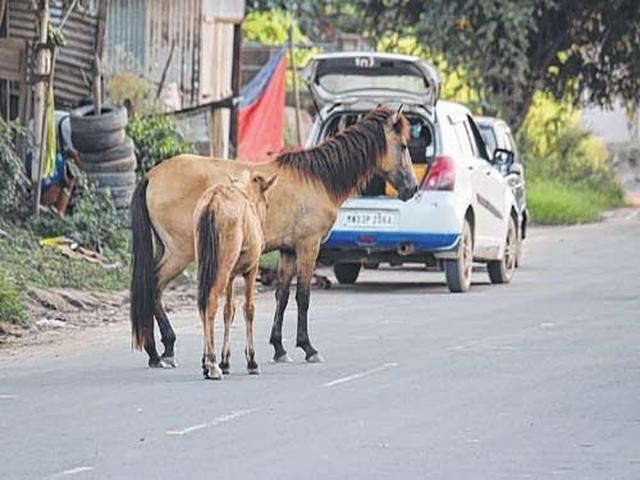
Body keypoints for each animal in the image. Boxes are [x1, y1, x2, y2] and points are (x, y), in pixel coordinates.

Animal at [194, 171, 277, 379]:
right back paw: (212, 363)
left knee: (202, 304)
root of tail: (213, 201)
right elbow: (248, 309)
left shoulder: (231, 275)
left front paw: (225, 360)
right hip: (223, 267)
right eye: (266, 204)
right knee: (211, 301)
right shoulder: (251, 269)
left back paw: (206, 362)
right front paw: (251, 360)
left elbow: (228, 312)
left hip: (206, 264)